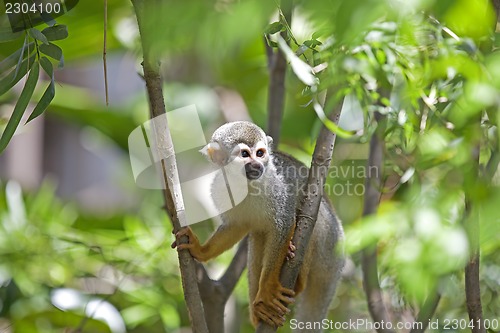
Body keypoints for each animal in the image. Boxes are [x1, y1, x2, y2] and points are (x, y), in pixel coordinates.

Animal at [172, 120, 344, 328]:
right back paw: (258, 312)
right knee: (257, 238)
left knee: (311, 220)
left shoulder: (277, 188)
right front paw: (200, 250)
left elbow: (283, 224)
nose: (257, 164)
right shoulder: (221, 187)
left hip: (329, 242)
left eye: (260, 153)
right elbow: (237, 225)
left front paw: (268, 288)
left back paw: (297, 279)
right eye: (245, 154)